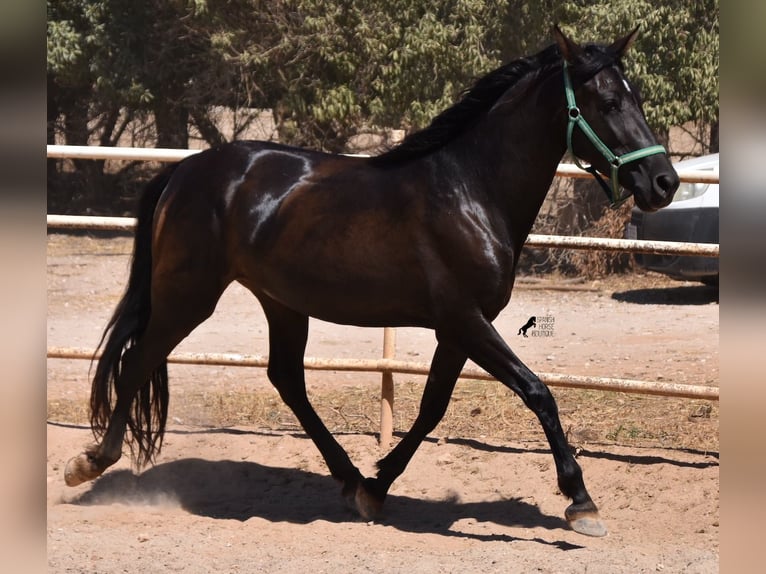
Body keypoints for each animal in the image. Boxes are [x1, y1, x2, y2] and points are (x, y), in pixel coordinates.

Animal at [64, 25, 680, 540]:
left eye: (638, 99)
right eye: (608, 102)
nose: (664, 182)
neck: (470, 191)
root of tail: (185, 169)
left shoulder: (458, 329)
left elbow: (432, 408)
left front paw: (377, 488)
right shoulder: (465, 320)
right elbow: (538, 392)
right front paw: (581, 502)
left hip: (281, 301)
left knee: (286, 379)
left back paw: (347, 478)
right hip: (187, 294)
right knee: (140, 360)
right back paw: (89, 462)